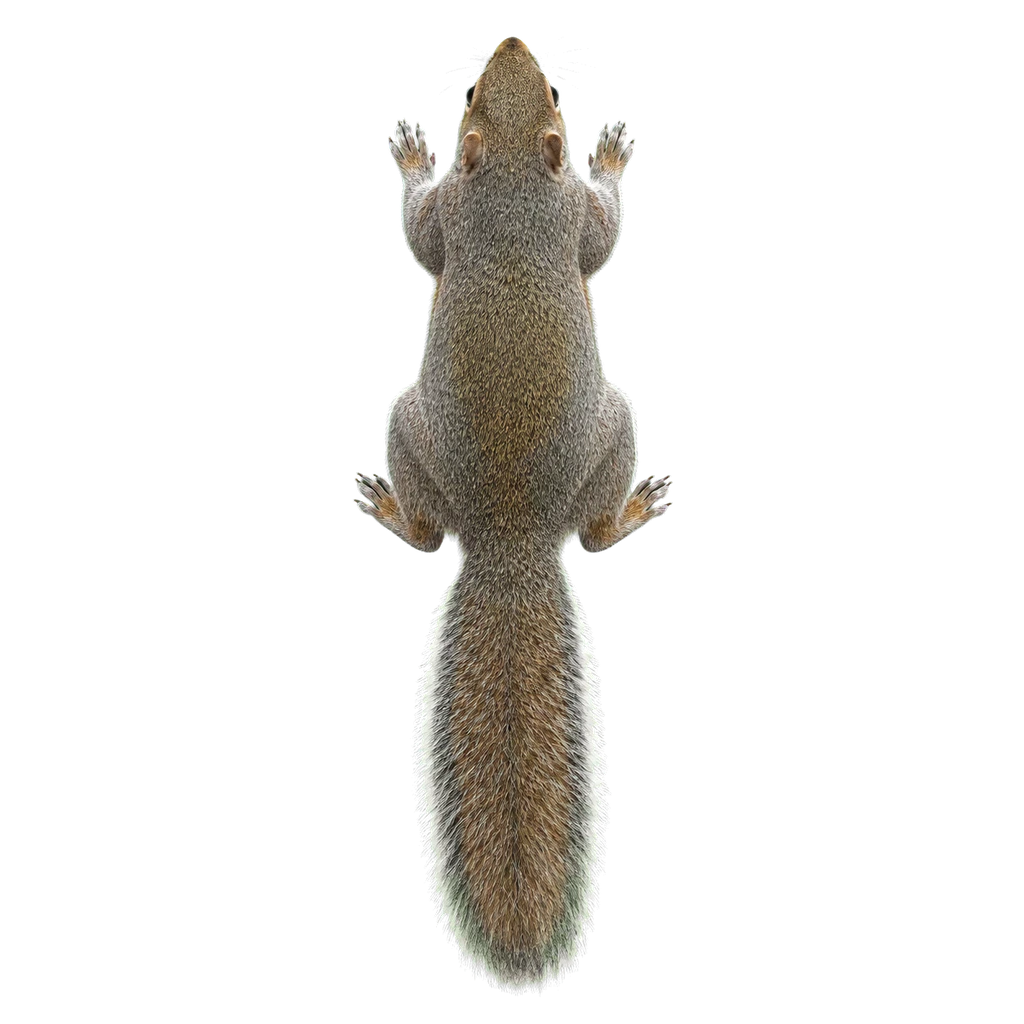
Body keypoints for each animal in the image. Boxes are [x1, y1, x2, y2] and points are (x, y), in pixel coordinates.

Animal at [358, 35, 670, 990]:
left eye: (550, 94)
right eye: (471, 103)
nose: (511, 42)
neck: (509, 189)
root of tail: (509, 537)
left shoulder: (537, 213)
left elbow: (592, 231)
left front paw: (611, 153)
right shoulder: (493, 213)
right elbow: (431, 228)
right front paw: (410, 153)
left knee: (575, 538)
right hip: (443, 423)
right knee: (468, 536)